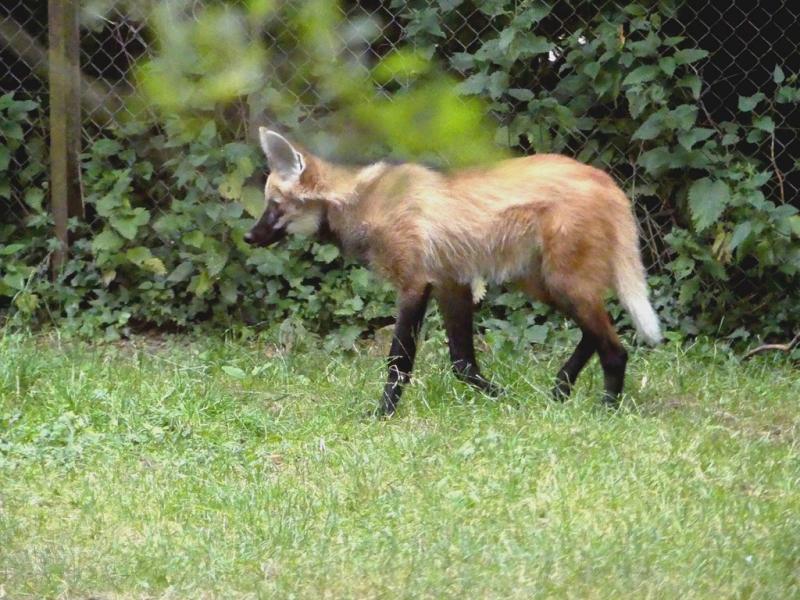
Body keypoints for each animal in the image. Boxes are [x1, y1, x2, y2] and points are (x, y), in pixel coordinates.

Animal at [245, 128, 662, 415]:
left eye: (274, 205)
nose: (249, 236)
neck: (362, 204)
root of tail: (605, 180)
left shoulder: (415, 284)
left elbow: (399, 362)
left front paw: (382, 414)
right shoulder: (451, 283)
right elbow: (462, 363)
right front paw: (506, 399)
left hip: (560, 280)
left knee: (615, 347)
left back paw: (605, 408)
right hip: (541, 282)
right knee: (595, 330)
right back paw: (560, 389)